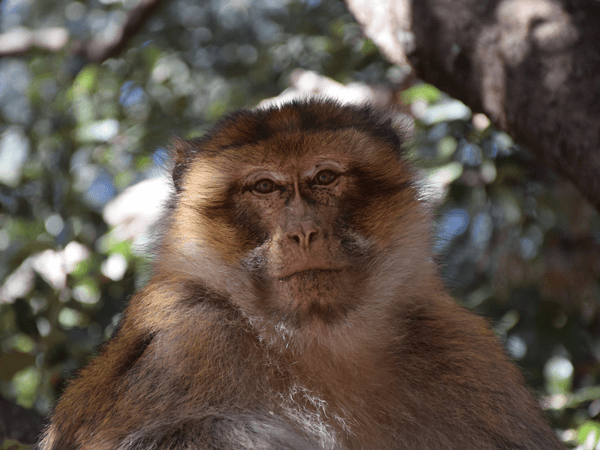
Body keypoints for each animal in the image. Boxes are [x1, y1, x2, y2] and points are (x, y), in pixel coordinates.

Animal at [36, 99, 564, 450]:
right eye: (265, 187)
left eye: (324, 178)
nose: (303, 232)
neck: (316, 342)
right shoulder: (183, 333)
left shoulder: (462, 346)